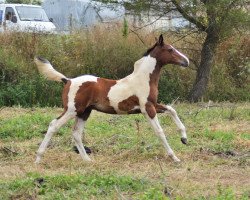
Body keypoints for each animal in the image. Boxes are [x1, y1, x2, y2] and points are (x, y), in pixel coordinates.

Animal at [34, 34, 188, 163]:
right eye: (170, 49)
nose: (186, 61)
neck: (144, 79)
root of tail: (68, 80)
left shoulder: (153, 105)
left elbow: (172, 110)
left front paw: (184, 138)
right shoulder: (147, 108)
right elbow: (160, 132)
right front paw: (174, 157)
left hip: (84, 112)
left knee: (76, 133)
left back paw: (87, 161)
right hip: (72, 110)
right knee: (53, 125)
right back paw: (38, 158)